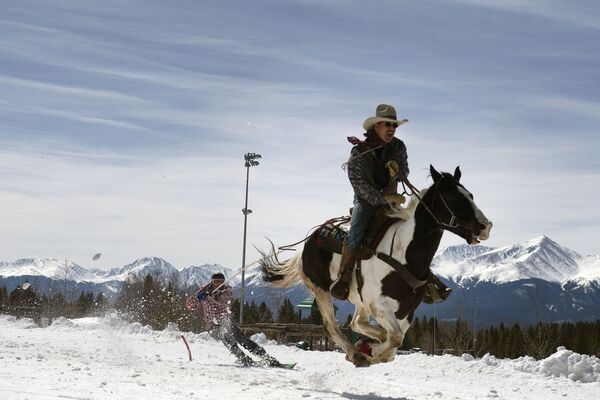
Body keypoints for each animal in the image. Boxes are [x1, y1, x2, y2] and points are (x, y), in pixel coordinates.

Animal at [258, 165, 492, 366]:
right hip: (321, 290)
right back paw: (355, 353)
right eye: (452, 196)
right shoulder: (378, 303)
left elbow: (396, 339)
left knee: (357, 323)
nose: (485, 226)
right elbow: (395, 337)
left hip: (359, 299)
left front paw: (372, 348)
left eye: (470, 195)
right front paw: (371, 351)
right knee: (332, 326)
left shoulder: (406, 311)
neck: (404, 253)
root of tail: (307, 245)